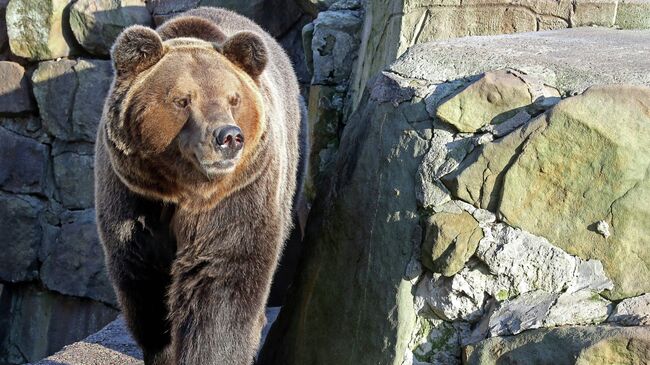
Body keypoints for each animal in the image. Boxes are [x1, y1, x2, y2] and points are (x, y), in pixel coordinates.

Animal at [94, 7, 306, 364]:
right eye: (182, 100)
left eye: (233, 99)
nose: (229, 136)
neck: (183, 189)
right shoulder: (133, 195)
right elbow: (145, 284)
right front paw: (163, 350)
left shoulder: (238, 195)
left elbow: (222, 281)